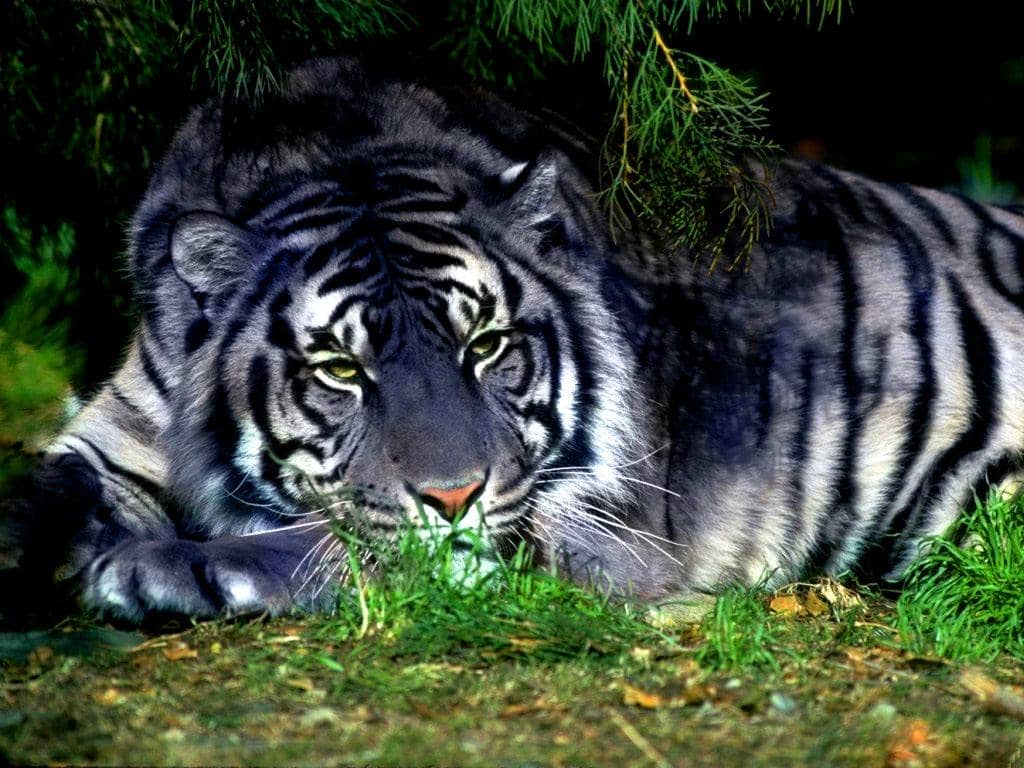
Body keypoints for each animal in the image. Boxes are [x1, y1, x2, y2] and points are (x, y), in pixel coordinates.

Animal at [3, 58, 1023, 623]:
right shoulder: (114, 435)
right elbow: (47, 488)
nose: (454, 495)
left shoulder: (586, 524)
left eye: (487, 345)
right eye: (339, 368)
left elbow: (349, 544)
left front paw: (158, 569)